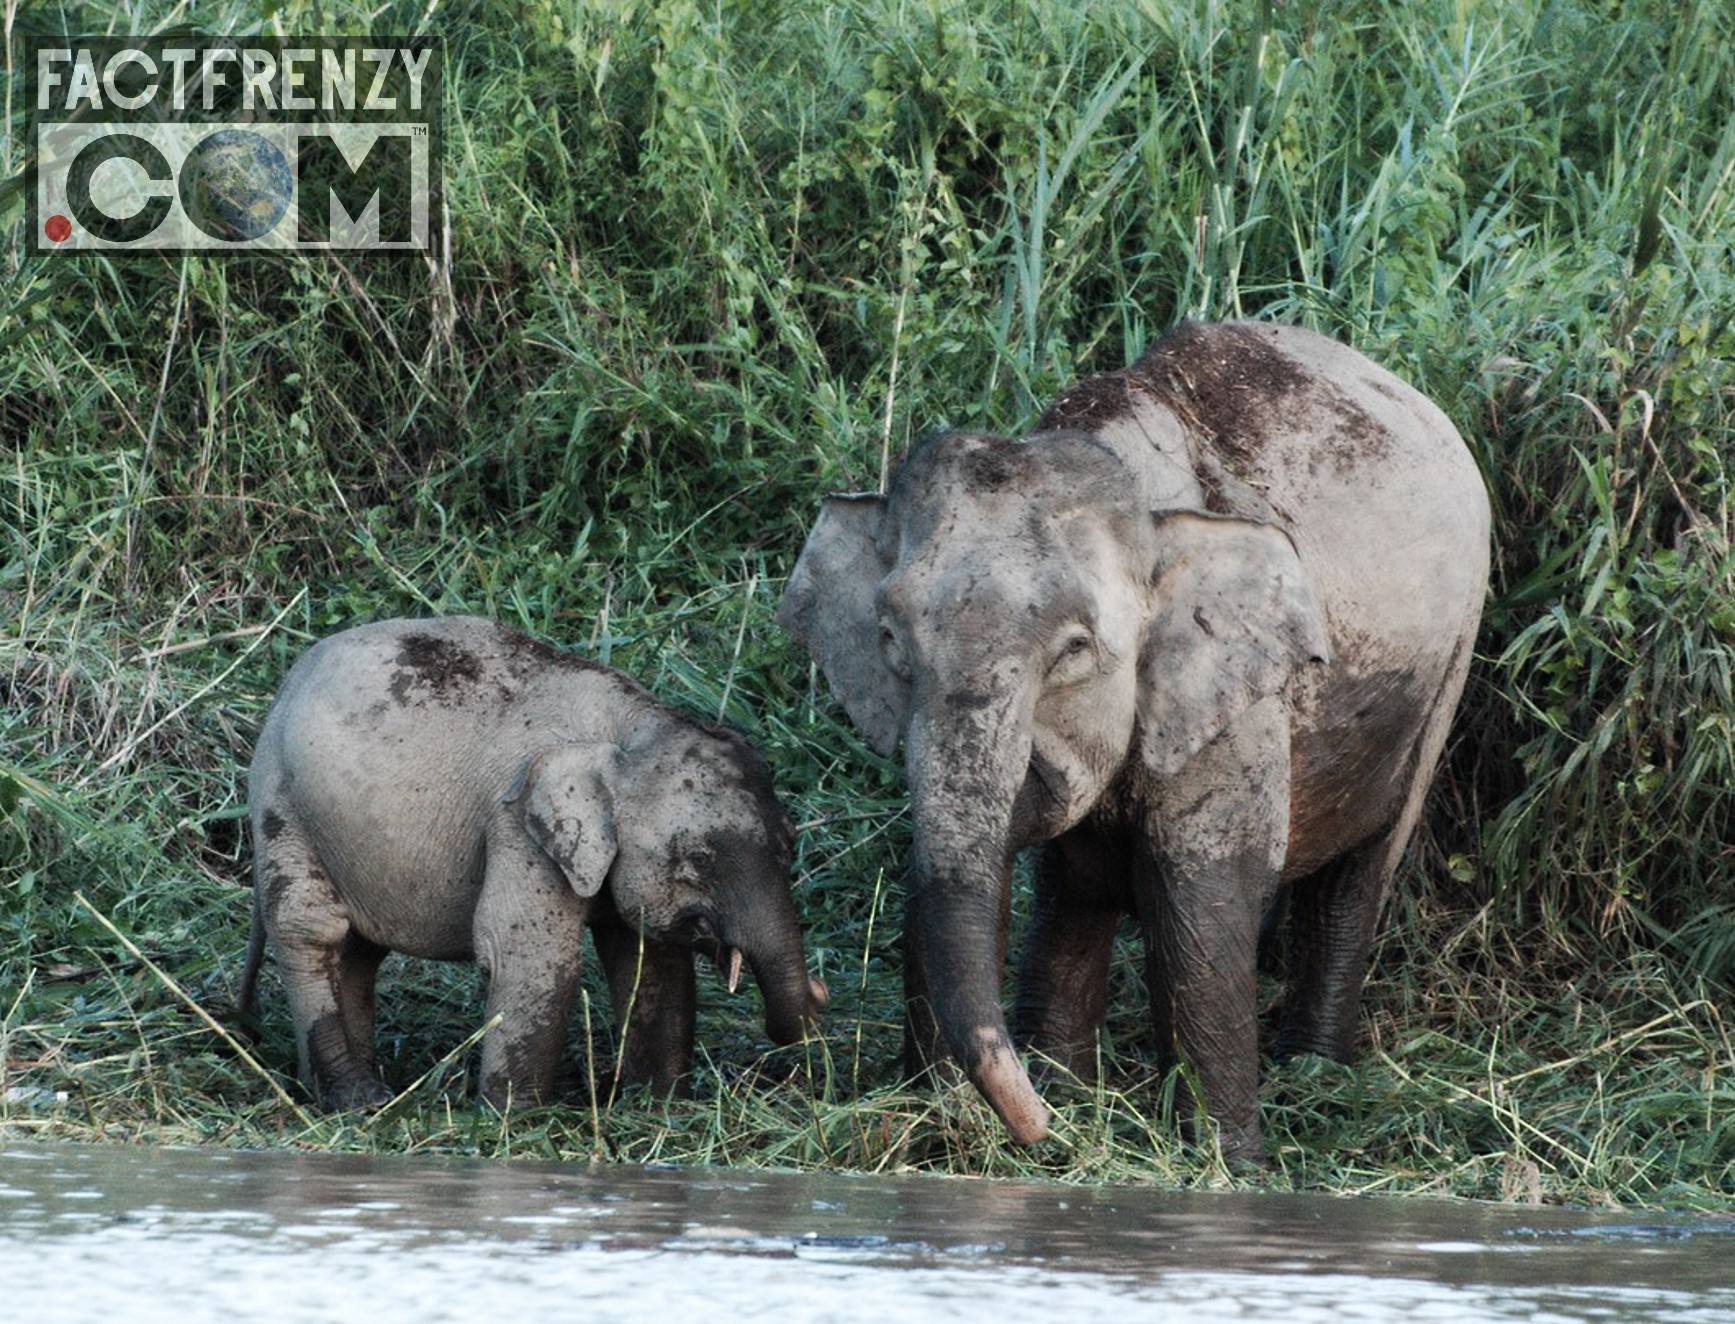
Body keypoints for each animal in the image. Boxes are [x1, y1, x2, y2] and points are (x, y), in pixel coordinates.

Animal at [237, 615, 828, 1111]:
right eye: (700, 860)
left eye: (790, 843)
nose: (820, 992)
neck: (630, 729)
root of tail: (287, 684)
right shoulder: (516, 827)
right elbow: (527, 954)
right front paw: (514, 1117)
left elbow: (650, 959)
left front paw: (656, 1106)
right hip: (282, 803)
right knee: (312, 929)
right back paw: (358, 1100)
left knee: (358, 952)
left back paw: (349, 1087)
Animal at [779, 320, 1490, 1162]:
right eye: (890, 640)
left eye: (1073, 650)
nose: (1037, 1133)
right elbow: (1024, 879)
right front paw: (967, 1115)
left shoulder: (1237, 695)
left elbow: (1199, 892)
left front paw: (1227, 1162)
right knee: (1084, 889)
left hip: (1447, 670)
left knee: (1357, 876)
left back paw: (1314, 1075)